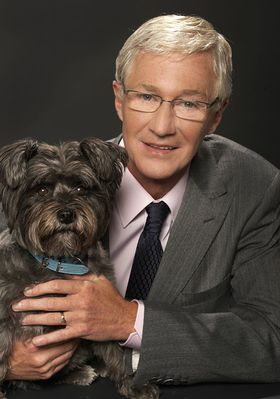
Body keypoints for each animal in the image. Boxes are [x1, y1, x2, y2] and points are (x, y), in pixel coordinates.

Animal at [0, 139, 159, 399]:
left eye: (80, 188)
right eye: (41, 190)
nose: (66, 214)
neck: (60, 261)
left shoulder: (98, 312)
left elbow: (115, 348)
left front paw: (132, 384)